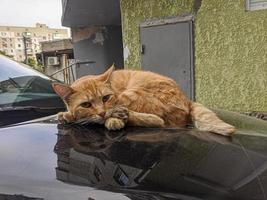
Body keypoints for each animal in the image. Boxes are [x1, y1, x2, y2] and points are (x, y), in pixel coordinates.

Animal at [52, 65, 237, 137]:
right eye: (86, 104)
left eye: (106, 98)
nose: (103, 112)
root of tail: (187, 99)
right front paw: (66, 115)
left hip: (131, 93)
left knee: (158, 121)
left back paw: (118, 118)